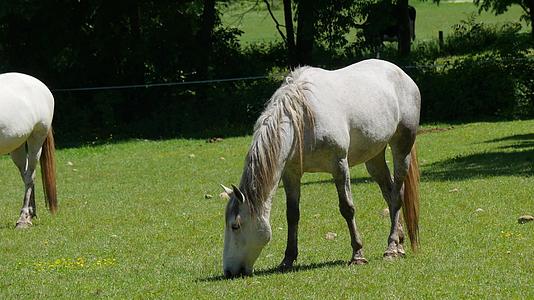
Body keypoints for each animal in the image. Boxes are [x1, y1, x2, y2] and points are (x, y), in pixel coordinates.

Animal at [0, 72, 57, 227]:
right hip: (17, 147)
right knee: (26, 174)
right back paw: (31, 213)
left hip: (36, 140)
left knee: (30, 176)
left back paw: (23, 219)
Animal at [222, 59, 422, 278]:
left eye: (235, 225)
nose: (229, 271)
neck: (302, 118)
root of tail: (401, 73)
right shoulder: (291, 173)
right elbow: (292, 214)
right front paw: (287, 259)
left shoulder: (339, 165)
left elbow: (347, 208)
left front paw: (358, 255)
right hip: (374, 157)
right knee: (390, 193)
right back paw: (399, 244)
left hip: (402, 147)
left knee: (396, 196)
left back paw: (391, 249)